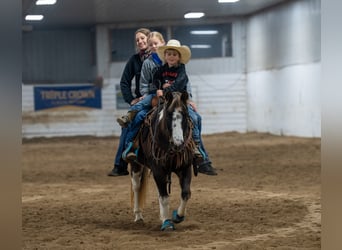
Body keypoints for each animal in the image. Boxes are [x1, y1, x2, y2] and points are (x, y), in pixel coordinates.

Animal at [130, 91, 196, 231]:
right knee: (137, 187)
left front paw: (178, 216)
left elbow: (185, 193)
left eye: (185, 114)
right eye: (169, 115)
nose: (178, 143)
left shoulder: (185, 167)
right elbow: (164, 197)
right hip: (136, 164)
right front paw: (167, 222)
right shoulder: (158, 170)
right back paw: (138, 216)